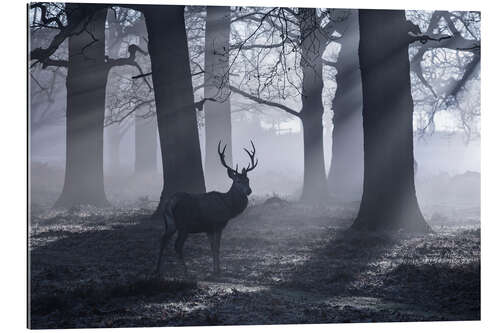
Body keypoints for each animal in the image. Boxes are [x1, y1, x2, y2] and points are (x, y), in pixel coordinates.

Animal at [155, 139, 258, 274]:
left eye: (248, 180)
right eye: (238, 181)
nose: (249, 191)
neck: (227, 206)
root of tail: (170, 203)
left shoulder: (208, 228)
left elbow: (212, 248)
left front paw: (215, 269)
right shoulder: (217, 224)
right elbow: (217, 247)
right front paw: (218, 270)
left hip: (170, 223)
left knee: (163, 239)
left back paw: (157, 269)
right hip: (184, 225)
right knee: (177, 245)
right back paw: (186, 271)